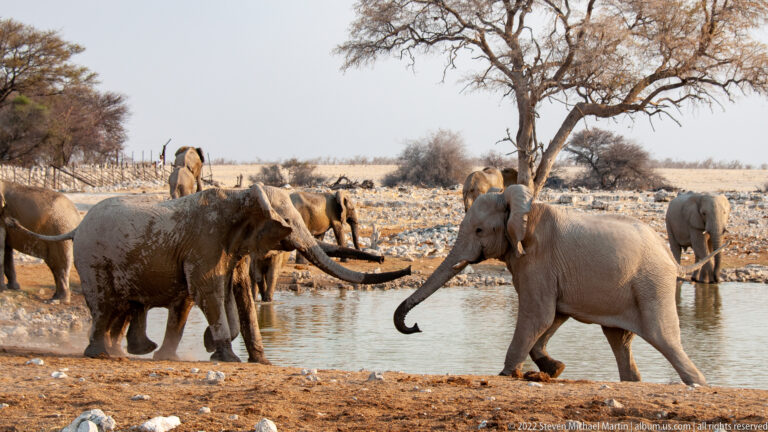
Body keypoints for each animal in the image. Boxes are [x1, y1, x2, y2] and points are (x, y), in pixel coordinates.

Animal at [11, 184, 410, 363]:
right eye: (287, 223)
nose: (395, 263)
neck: (239, 196)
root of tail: (76, 227)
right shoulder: (206, 243)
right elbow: (208, 292)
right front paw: (225, 356)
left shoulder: (231, 247)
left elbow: (239, 295)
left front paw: (257, 361)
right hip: (93, 257)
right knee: (106, 305)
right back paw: (102, 355)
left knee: (121, 308)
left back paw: (127, 352)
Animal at [394, 185, 725, 385]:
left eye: (478, 230)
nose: (416, 326)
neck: (521, 205)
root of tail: (671, 261)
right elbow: (551, 317)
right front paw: (555, 369)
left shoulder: (537, 261)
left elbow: (538, 315)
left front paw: (506, 373)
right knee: (619, 340)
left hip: (651, 284)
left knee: (664, 338)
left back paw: (699, 384)